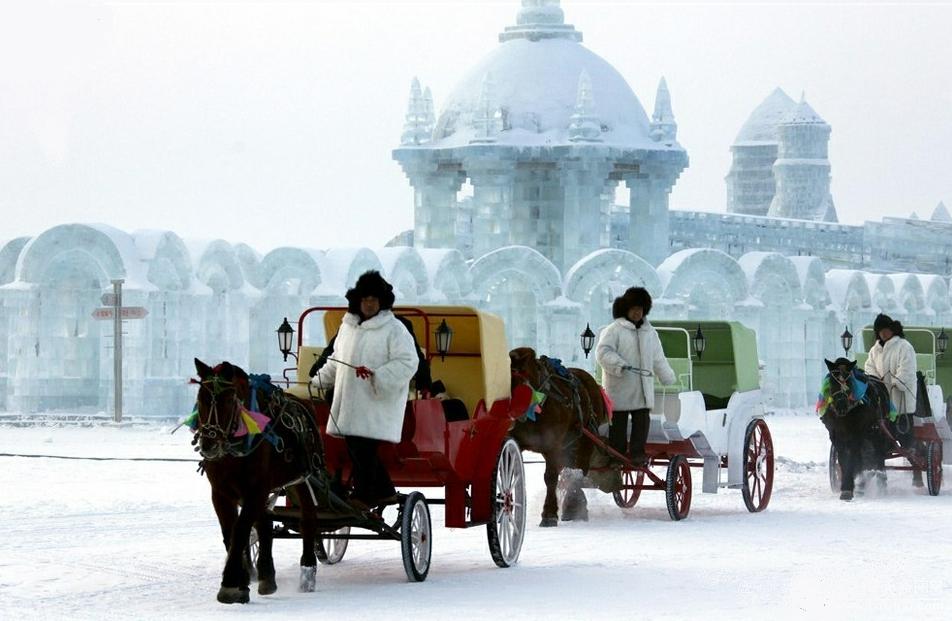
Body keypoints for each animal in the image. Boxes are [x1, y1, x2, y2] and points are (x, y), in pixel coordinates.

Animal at [193, 358, 328, 600]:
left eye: (229, 400)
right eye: (200, 398)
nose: (209, 445)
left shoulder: (255, 489)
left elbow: (240, 529)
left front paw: (230, 582)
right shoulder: (221, 493)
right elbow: (231, 533)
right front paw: (242, 579)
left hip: (303, 479)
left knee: (308, 519)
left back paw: (307, 569)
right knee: (264, 522)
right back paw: (266, 575)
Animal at [510, 346, 608, 524]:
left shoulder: (552, 444)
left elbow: (550, 477)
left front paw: (549, 513)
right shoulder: (518, 441)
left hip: (585, 439)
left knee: (578, 471)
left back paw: (574, 503)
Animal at [820, 358, 892, 498]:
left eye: (849, 382)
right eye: (832, 381)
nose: (841, 406)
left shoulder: (857, 433)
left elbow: (854, 457)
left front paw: (849, 487)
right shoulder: (835, 434)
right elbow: (843, 458)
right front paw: (846, 487)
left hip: (877, 431)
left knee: (879, 454)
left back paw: (881, 483)